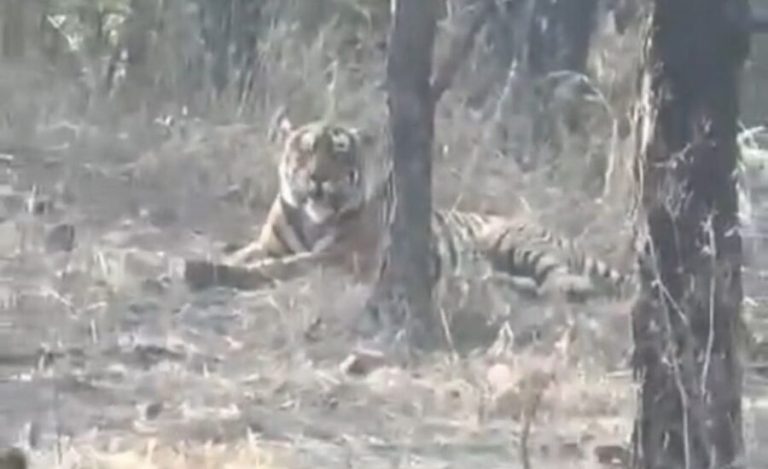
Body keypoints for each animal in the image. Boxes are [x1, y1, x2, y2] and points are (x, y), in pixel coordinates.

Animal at [183, 116, 634, 301]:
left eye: (339, 152)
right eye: (307, 150)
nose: (317, 178)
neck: (313, 221)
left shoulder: (340, 258)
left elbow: (274, 270)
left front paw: (207, 271)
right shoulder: (269, 244)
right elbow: (250, 254)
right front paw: (209, 260)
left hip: (513, 240)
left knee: (568, 280)